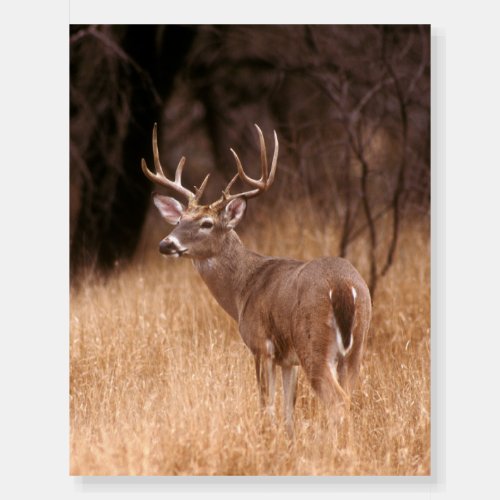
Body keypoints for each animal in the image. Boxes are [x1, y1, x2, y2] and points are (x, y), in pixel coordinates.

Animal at [141, 123, 372, 436]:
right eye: (179, 221)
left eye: (206, 223)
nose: (166, 244)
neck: (242, 289)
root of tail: (344, 287)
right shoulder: (288, 360)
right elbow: (288, 410)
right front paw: (288, 441)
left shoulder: (260, 344)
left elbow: (266, 406)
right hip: (356, 346)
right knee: (349, 398)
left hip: (314, 343)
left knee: (338, 403)